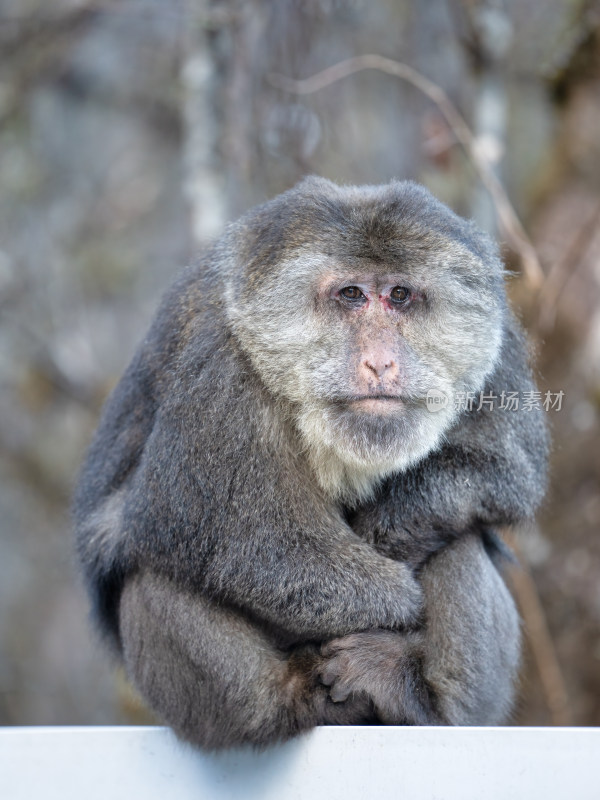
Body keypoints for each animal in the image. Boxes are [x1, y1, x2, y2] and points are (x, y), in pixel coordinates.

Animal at [71, 177, 548, 752]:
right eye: (351, 295)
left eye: (400, 295)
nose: (380, 362)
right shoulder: (220, 369)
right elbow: (221, 534)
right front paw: (396, 598)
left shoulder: (494, 344)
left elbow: (506, 469)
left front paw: (389, 530)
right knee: (151, 572)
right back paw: (285, 700)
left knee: (459, 534)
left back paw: (422, 697)